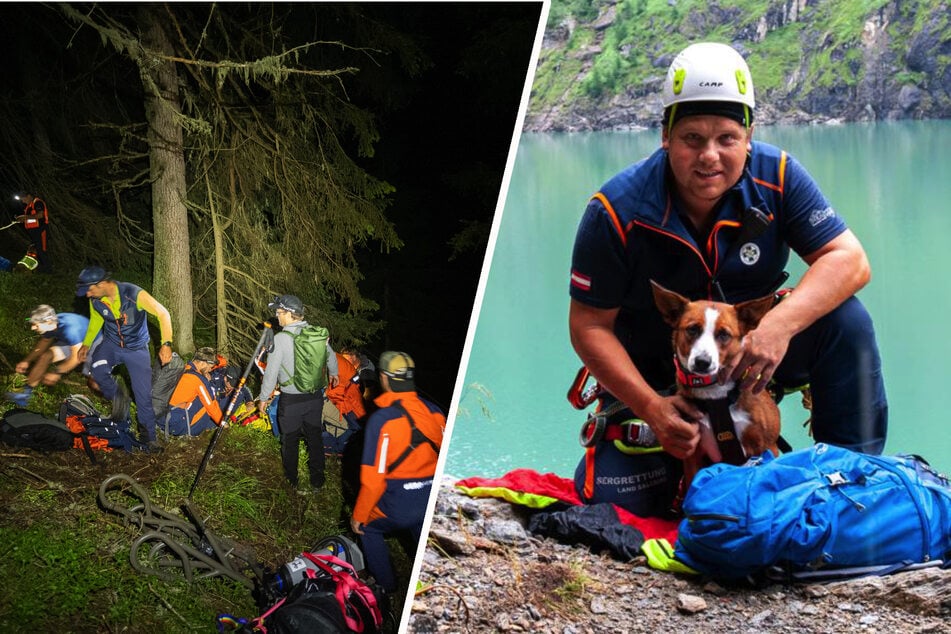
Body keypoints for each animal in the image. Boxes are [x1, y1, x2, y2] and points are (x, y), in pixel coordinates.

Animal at [656, 278, 780, 492]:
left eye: (724, 334)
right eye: (692, 329)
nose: (702, 362)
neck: (716, 395)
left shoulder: (768, 447)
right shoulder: (693, 456)